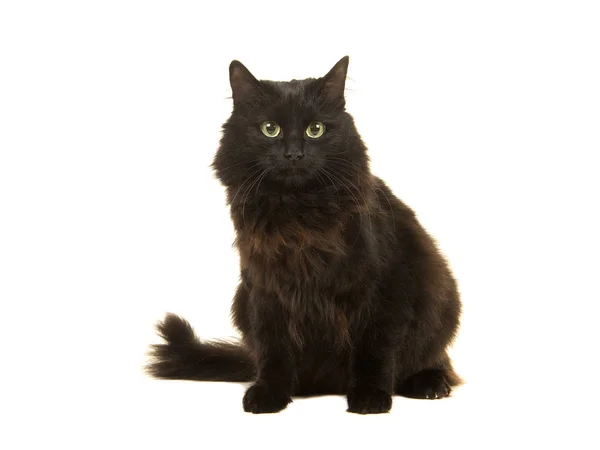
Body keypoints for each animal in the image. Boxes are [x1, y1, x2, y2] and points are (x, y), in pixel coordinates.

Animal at [146, 57, 464, 414]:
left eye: (316, 129)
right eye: (270, 128)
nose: (294, 154)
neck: (298, 213)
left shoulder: (384, 288)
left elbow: (374, 350)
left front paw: (370, 397)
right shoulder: (266, 290)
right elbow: (273, 350)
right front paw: (269, 394)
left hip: (440, 297)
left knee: (432, 358)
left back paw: (429, 383)